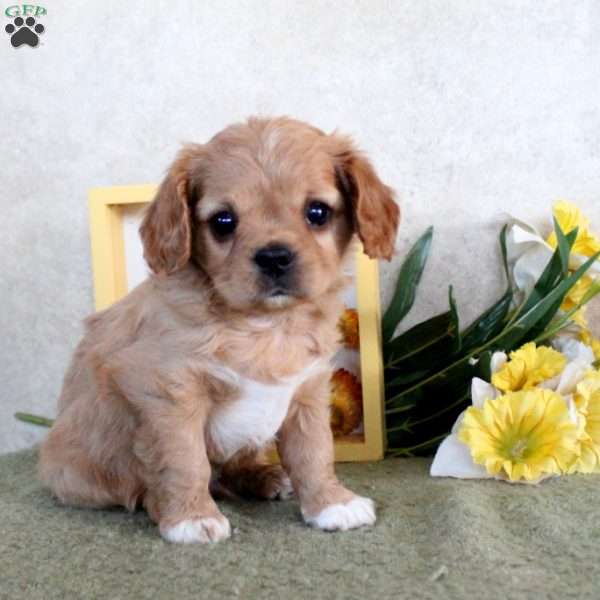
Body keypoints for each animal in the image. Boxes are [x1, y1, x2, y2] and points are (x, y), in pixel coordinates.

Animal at [39, 117, 400, 544]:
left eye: (317, 212)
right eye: (223, 221)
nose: (274, 257)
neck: (265, 326)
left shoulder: (308, 393)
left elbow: (315, 453)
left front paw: (331, 503)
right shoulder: (170, 395)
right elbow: (186, 460)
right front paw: (191, 517)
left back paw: (265, 476)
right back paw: (159, 501)